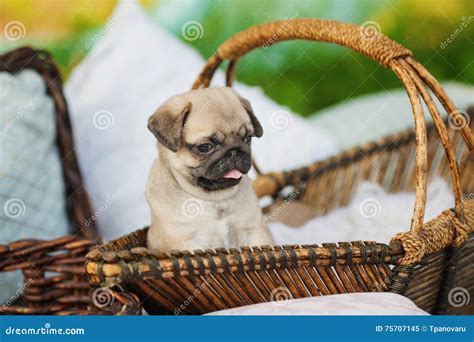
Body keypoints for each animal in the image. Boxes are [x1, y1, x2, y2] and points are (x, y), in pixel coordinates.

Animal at [146, 86, 276, 251]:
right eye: (204, 147)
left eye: (248, 139)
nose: (234, 151)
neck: (216, 200)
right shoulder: (186, 242)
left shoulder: (254, 231)